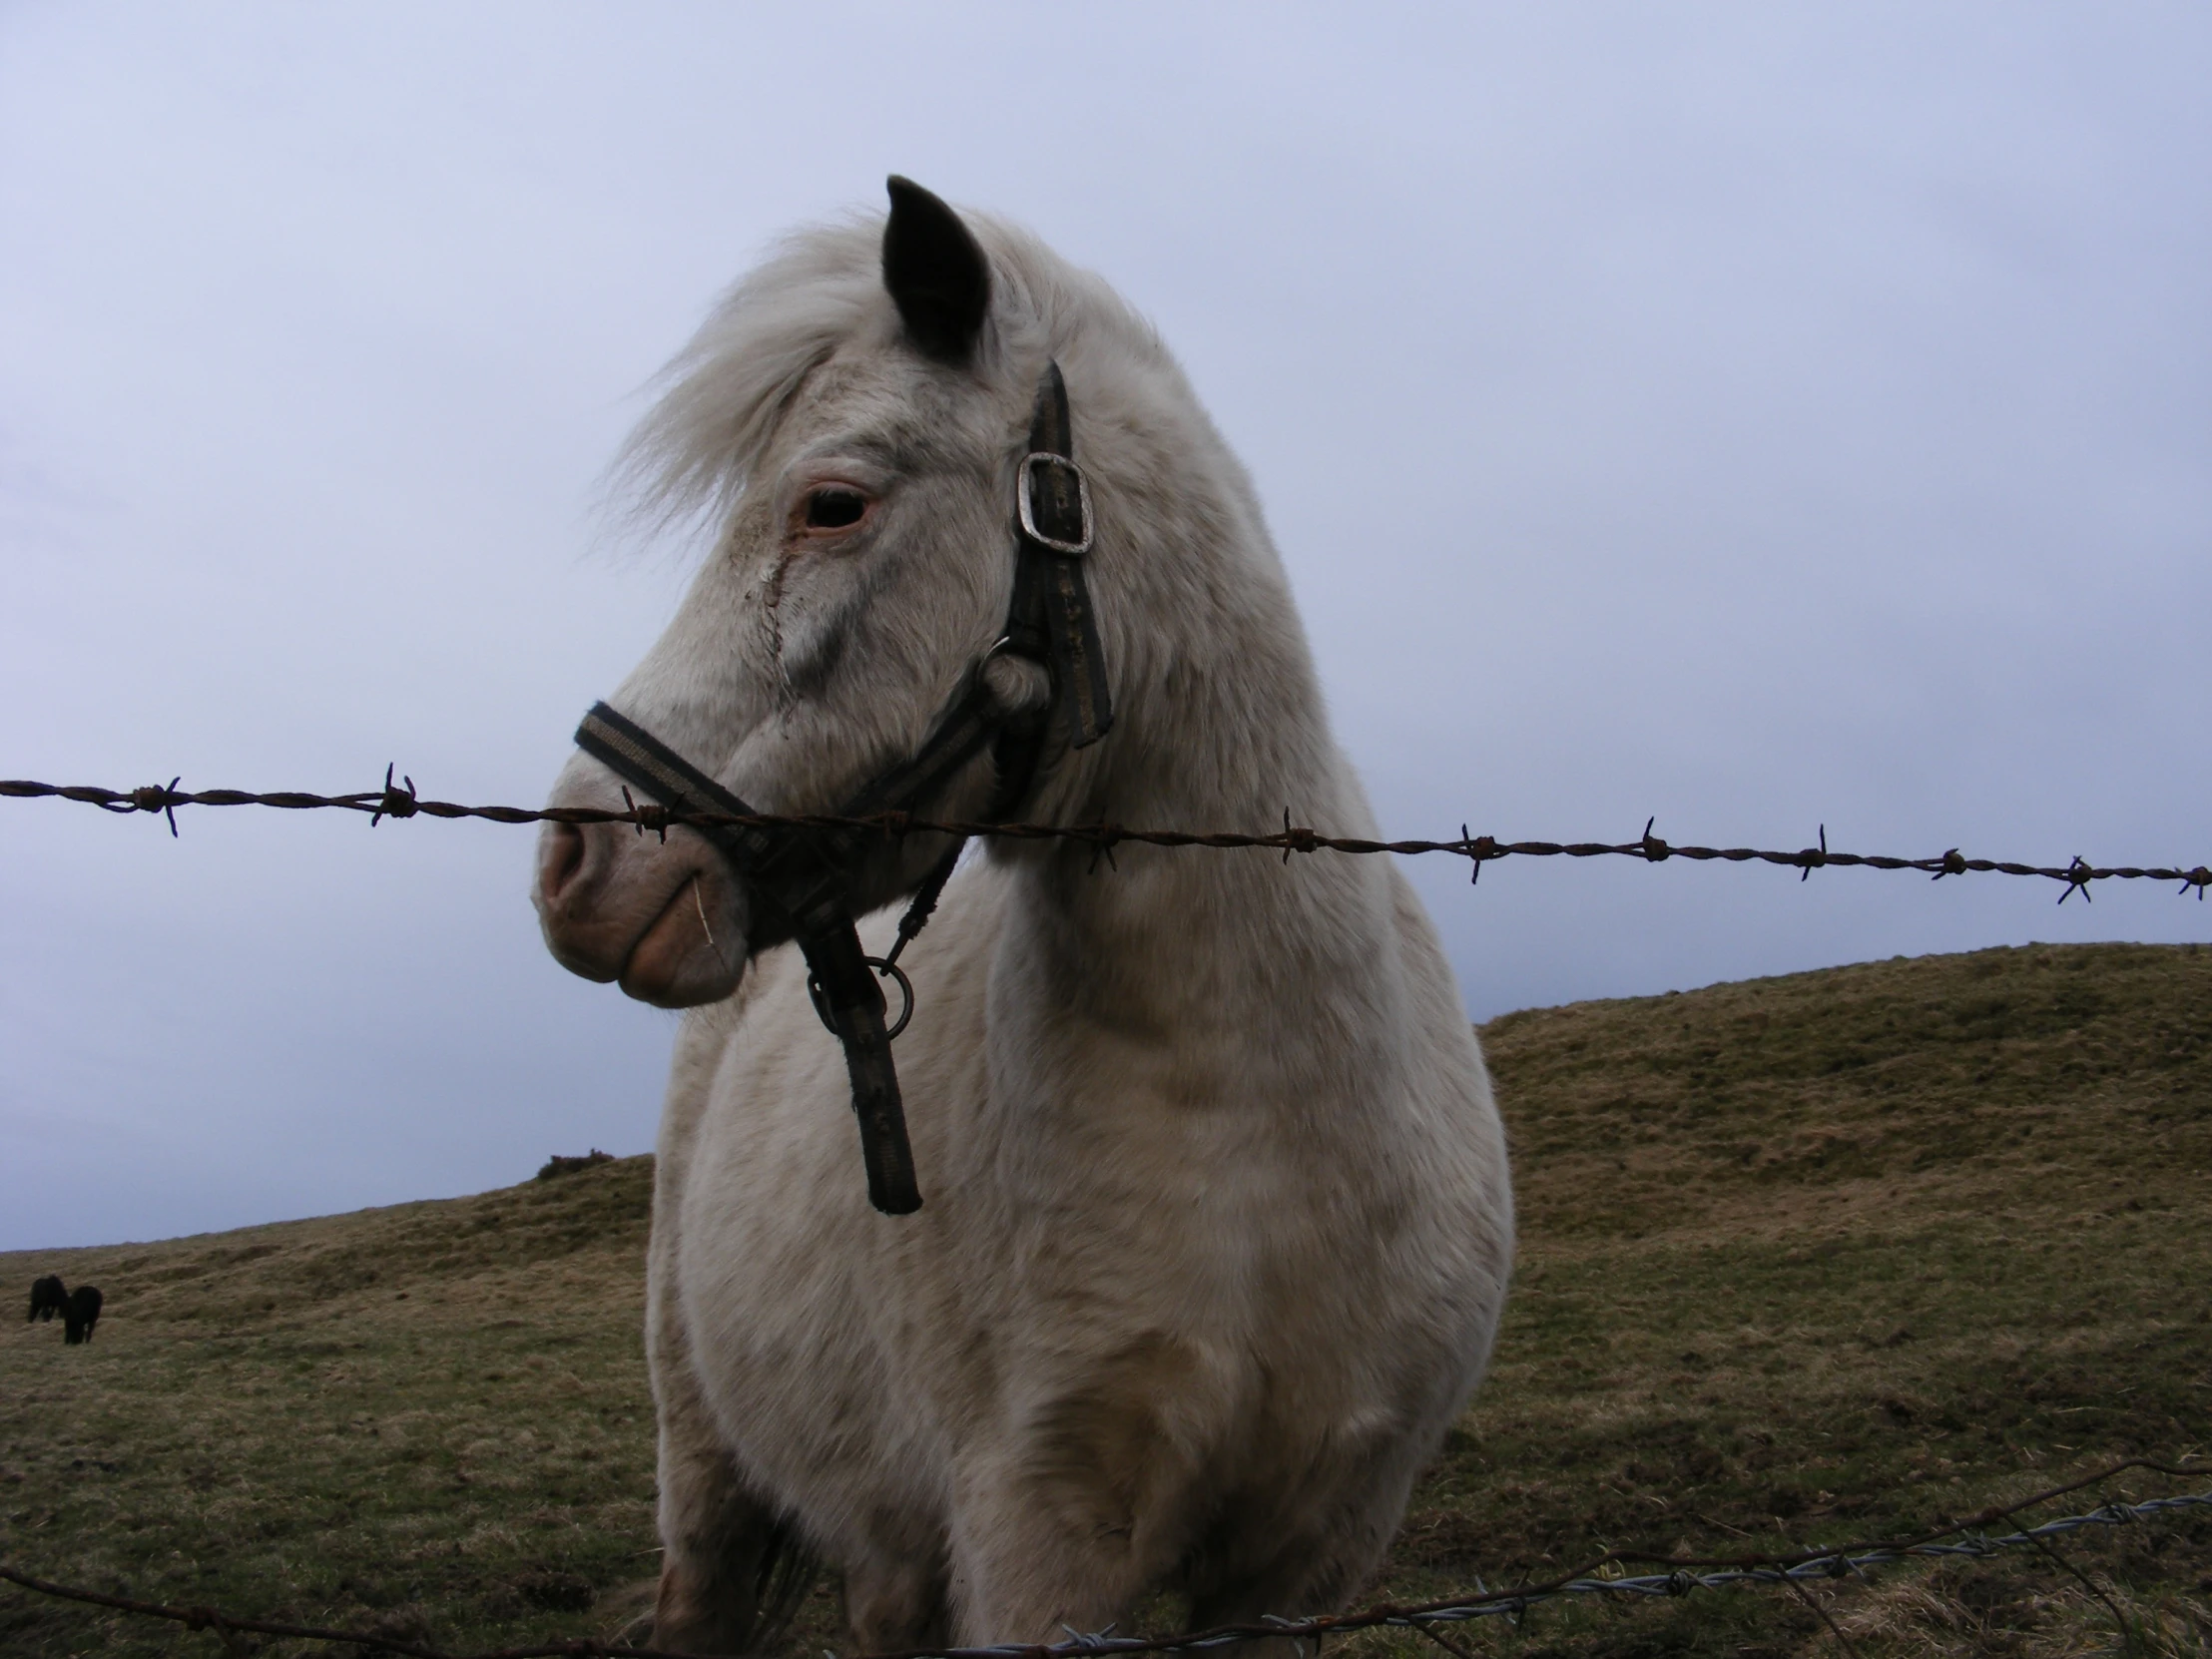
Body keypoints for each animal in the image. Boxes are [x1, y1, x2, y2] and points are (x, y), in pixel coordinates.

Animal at [537, 181, 1512, 1659]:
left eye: (832, 503)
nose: (576, 862)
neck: (1259, 1108)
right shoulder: (1036, 1533)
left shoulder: (1306, 1551)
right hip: (708, 1487)